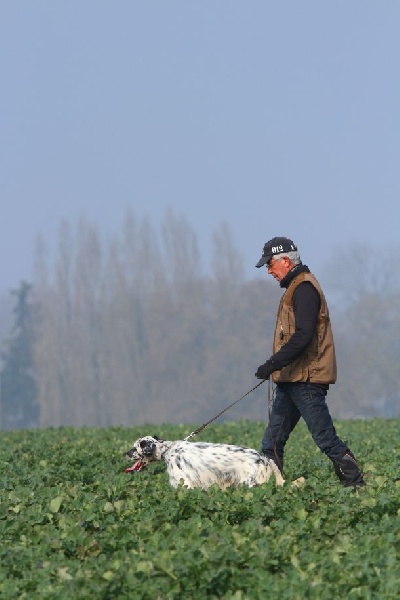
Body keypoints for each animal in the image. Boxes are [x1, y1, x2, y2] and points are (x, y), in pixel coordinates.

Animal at [125, 436, 288, 492]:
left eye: (135, 447)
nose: (124, 453)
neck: (168, 450)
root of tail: (264, 458)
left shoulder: (185, 484)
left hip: (251, 484)